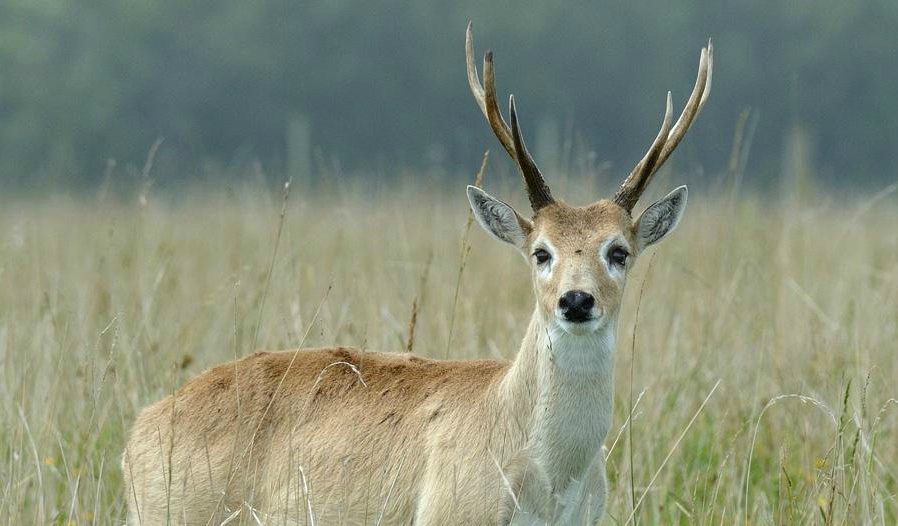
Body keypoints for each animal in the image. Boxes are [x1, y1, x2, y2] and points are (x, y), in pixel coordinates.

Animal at [122, 21, 712, 526]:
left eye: (620, 251)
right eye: (540, 252)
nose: (576, 301)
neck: (548, 479)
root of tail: (137, 433)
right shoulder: (449, 513)